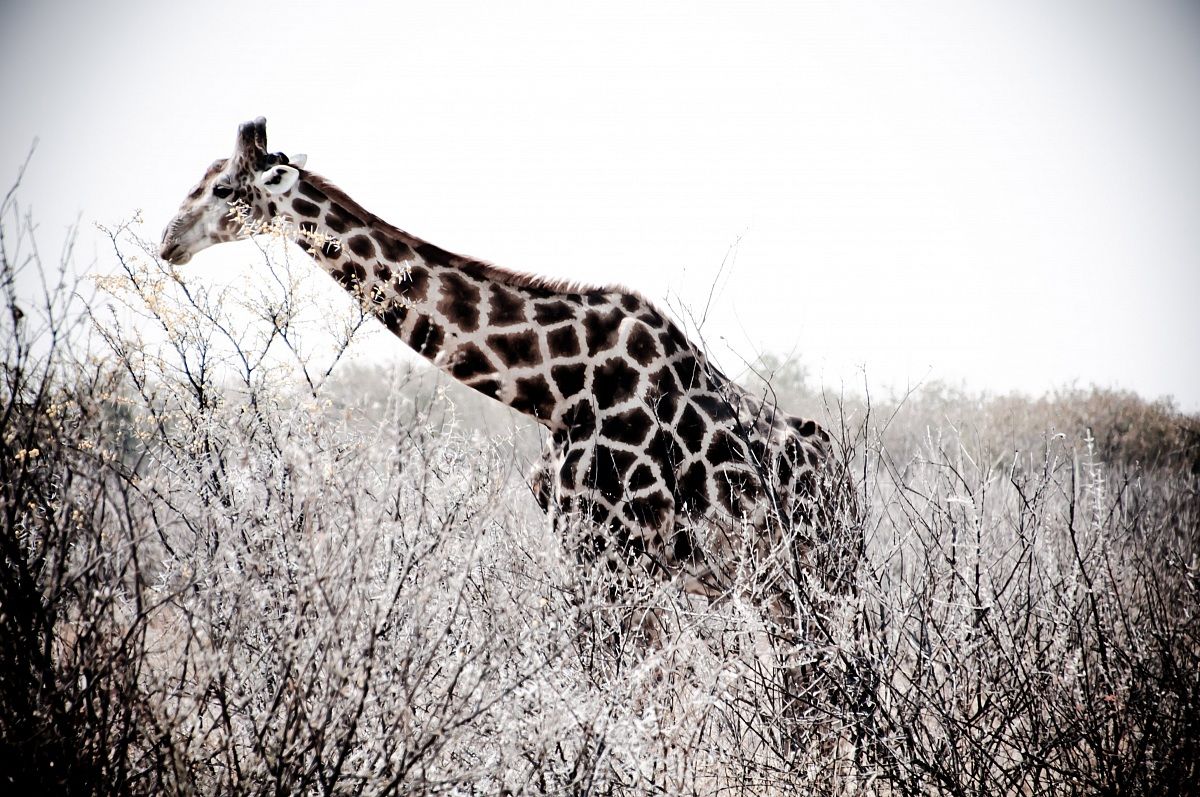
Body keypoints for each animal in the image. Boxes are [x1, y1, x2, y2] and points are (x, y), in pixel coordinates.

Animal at [159, 117, 861, 644]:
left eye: (222, 188)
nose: (168, 241)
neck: (555, 391)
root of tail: (842, 478)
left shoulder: (615, 559)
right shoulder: (590, 556)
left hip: (811, 581)